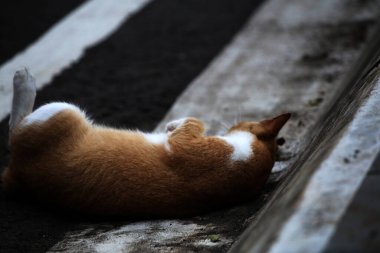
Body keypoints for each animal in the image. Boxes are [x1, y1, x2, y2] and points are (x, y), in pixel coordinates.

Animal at [1, 69, 290, 217]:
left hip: (62, 111)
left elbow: (194, 121)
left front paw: (173, 124)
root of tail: (16, 175)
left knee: (15, 127)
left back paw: (23, 80)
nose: (232, 124)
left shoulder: (188, 145)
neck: (246, 160)